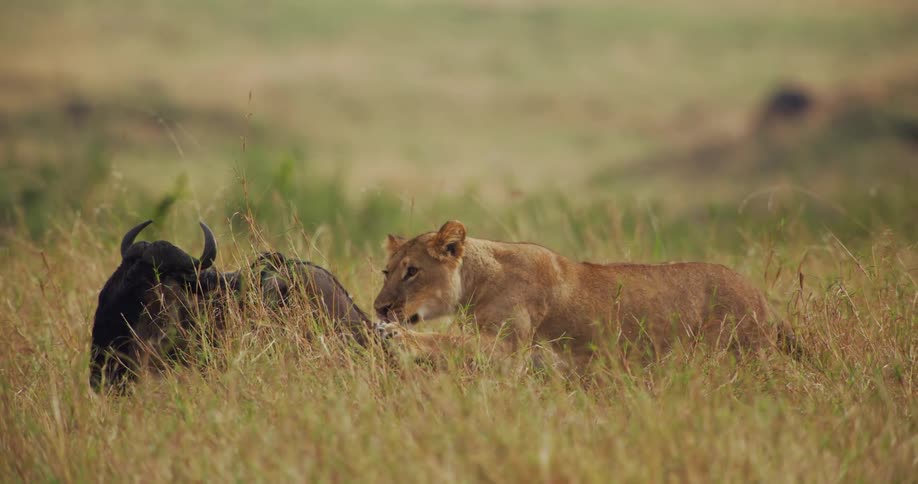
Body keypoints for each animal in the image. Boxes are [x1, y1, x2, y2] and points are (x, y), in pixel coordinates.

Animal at [373, 220, 798, 369]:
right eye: (386, 271)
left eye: (412, 271)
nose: (379, 308)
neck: (477, 282)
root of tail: (763, 299)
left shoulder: (509, 347)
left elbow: (447, 340)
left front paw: (397, 336)